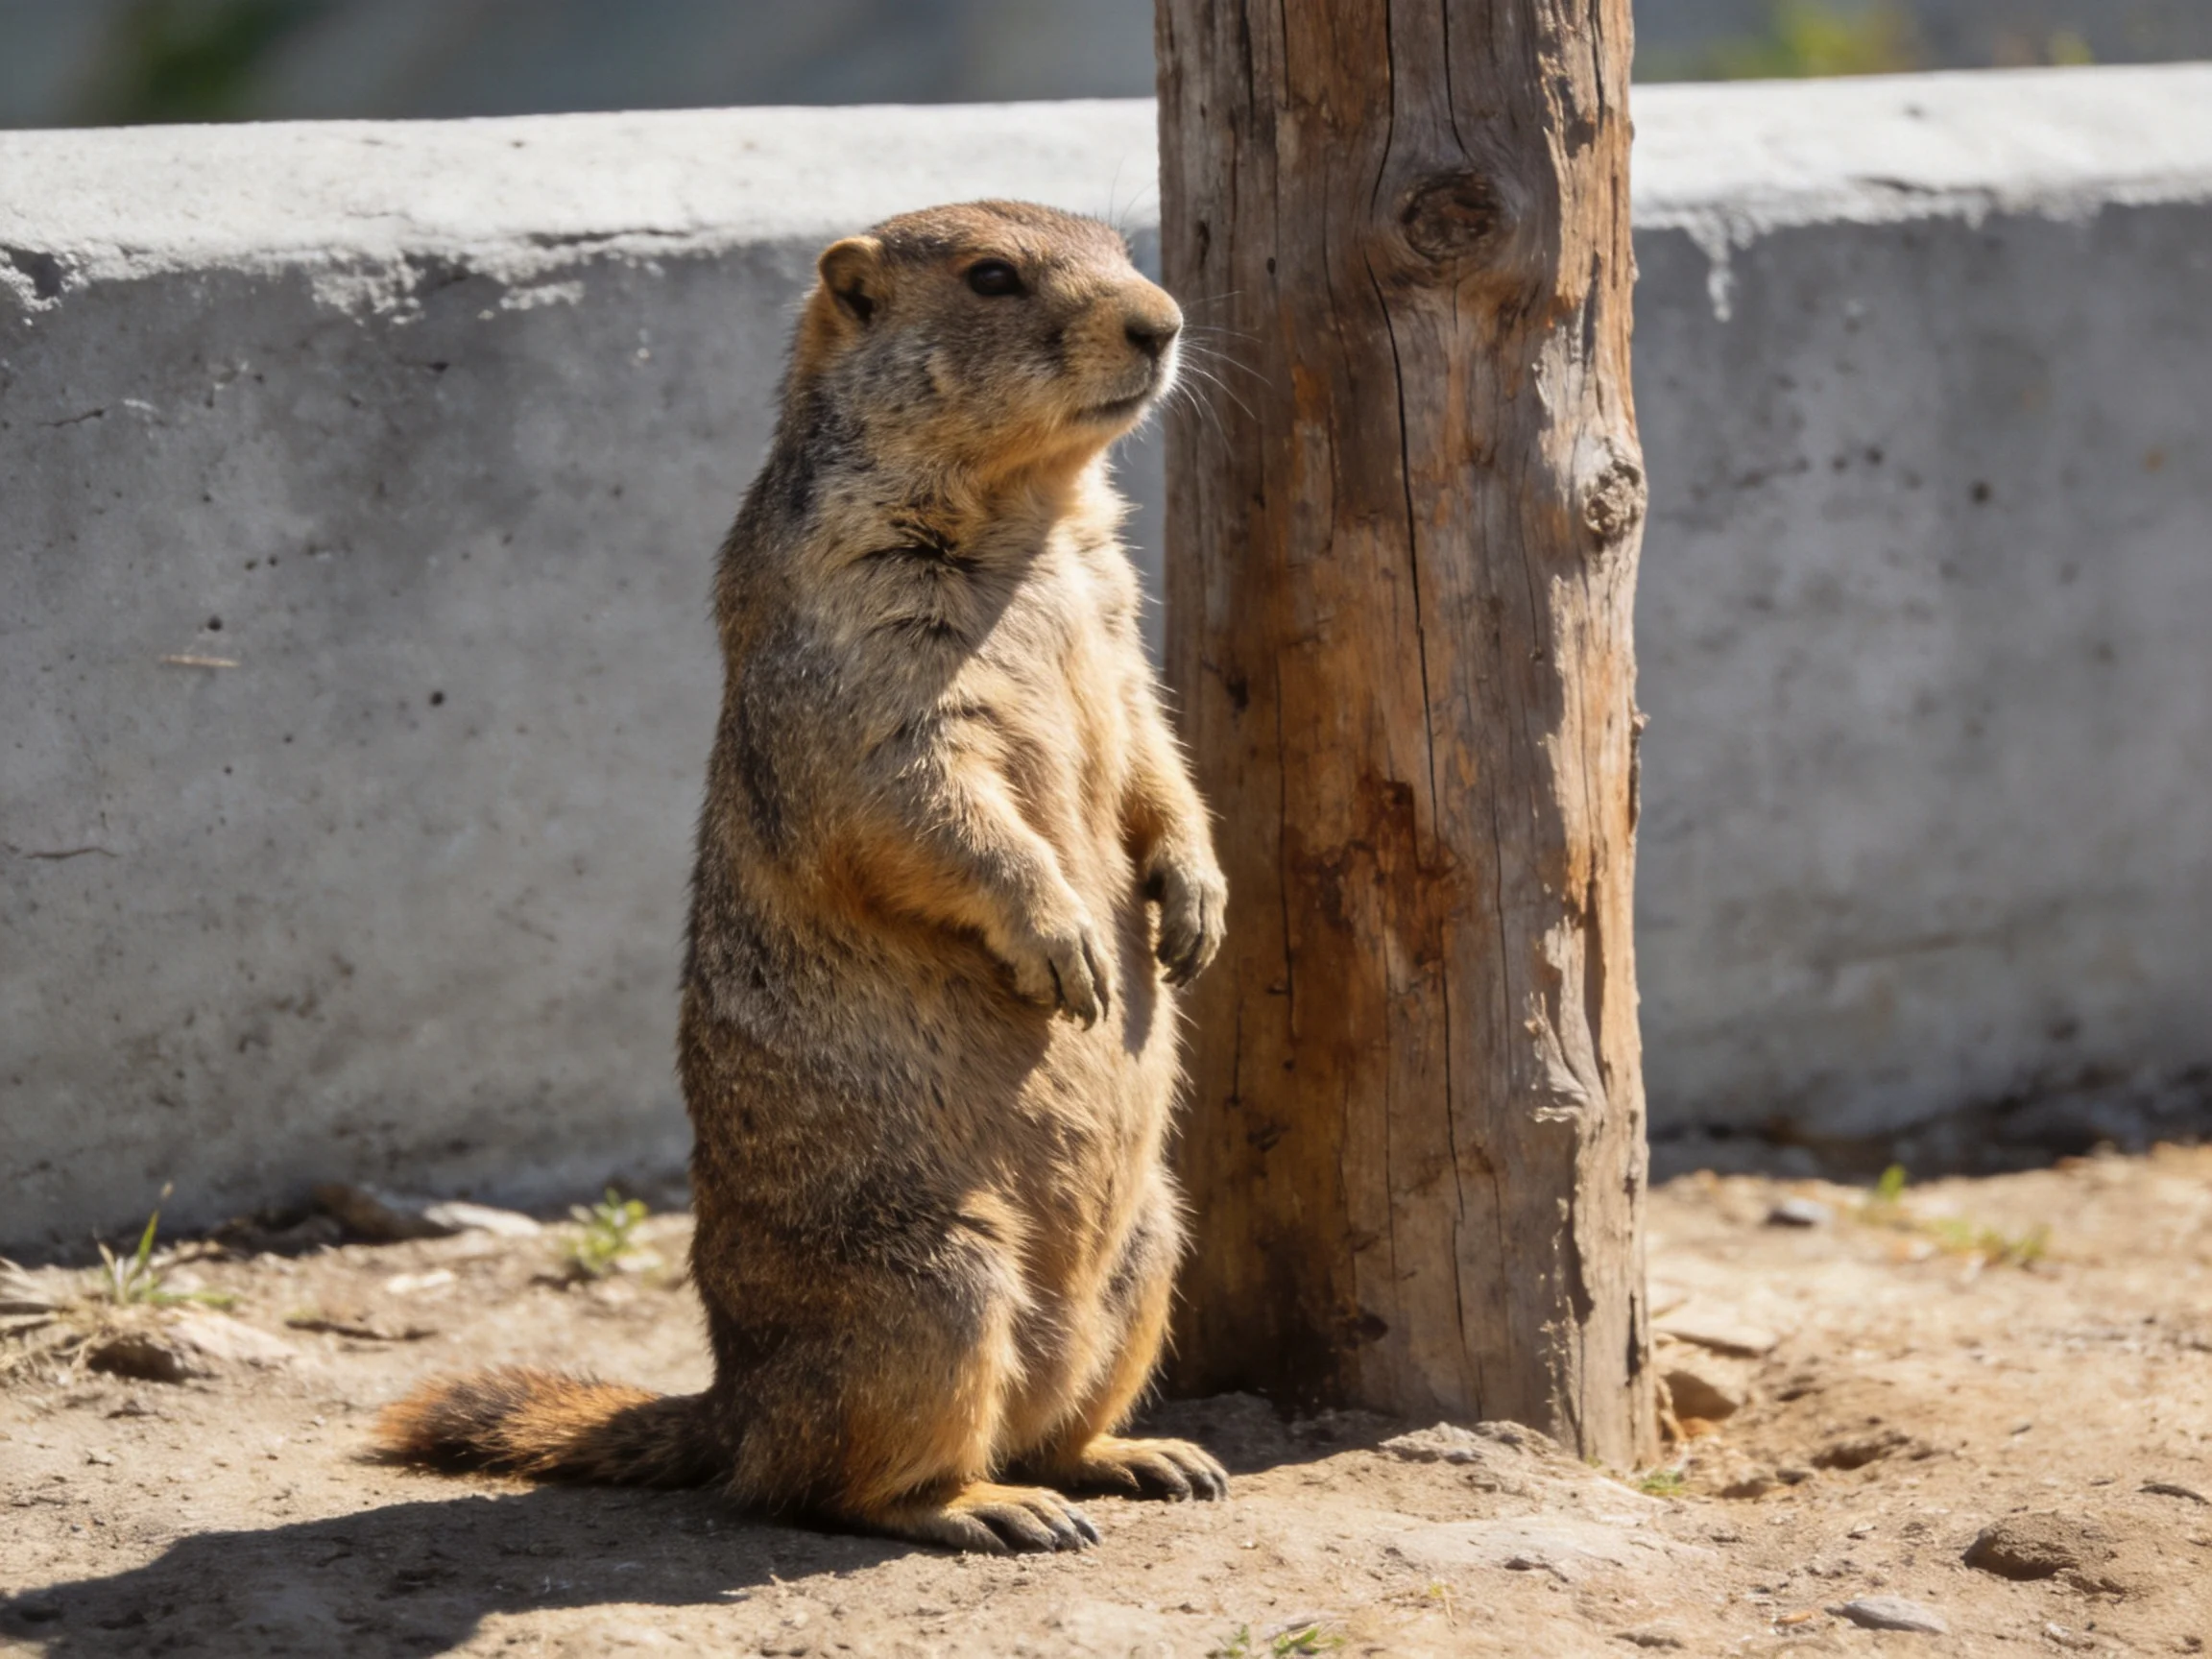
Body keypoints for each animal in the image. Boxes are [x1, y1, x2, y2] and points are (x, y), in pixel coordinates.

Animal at [376, 200, 1230, 1554]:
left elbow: (1157, 755)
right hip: (928, 1284)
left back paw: (1142, 1456)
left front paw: (1194, 906)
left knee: (1054, 1418)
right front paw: (1068, 943)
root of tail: (732, 1400)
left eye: (1118, 243)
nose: (1163, 321)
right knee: (835, 1486)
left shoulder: (1119, 621)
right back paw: (989, 1507)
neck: (1034, 511)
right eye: (993, 276)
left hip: (1152, 1244)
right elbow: (917, 792)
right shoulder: (858, 624)